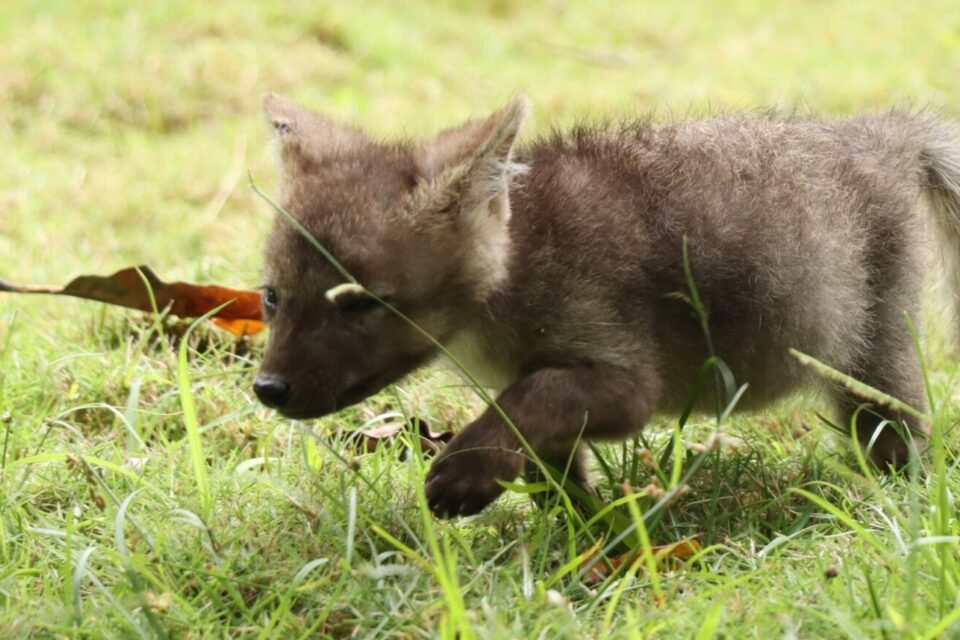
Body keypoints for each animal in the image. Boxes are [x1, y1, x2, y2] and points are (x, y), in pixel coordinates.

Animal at [253, 92, 960, 518]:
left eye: (360, 302)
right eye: (271, 297)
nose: (267, 388)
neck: (523, 262)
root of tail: (882, 132)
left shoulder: (627, 382)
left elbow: (525, 402)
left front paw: (464, 473)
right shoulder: (556, 389)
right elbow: (547, 458)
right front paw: (587, 529)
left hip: (873, 365)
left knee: (907, 441)